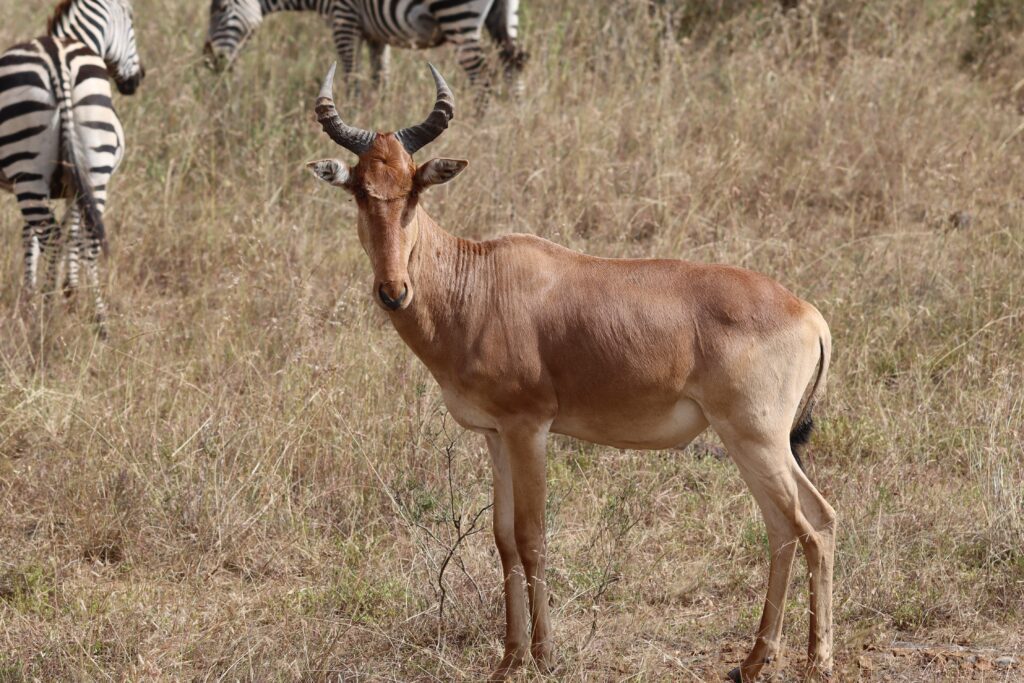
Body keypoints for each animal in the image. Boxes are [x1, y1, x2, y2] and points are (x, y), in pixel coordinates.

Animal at [0, 0, 145, 333]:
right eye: (131, 20)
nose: (139, 77)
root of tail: (58, 58)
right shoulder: (73, 186)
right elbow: (65, 233)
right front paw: (61, 290)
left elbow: (45, 235)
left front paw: (41, 294)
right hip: (77, 168)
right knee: (70, 236)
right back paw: (77, 317)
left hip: (37, 172)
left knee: (61, 235)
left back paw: (66, 314)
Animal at [206, 0, 528, 96]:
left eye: (220, 9)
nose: (210, 61)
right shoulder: (376, 35)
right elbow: (379, 78)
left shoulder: (343, 20)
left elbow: (351, 77)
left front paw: (351, 113)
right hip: (504, 16)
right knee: (514, 61)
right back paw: (513, 114)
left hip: (457, 16)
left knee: (482, 76)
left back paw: (478, 124)